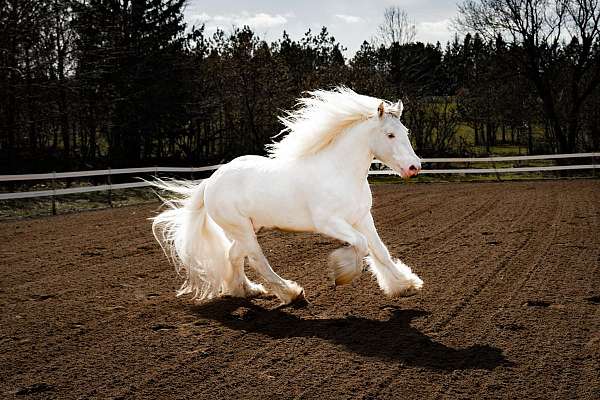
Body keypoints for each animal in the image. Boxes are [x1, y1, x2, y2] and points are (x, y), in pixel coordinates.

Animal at [152, 87, 424, 304]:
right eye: (390, 135)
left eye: (405, 131)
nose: (415, 167)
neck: (340, 172)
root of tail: (211, 181)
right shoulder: (330, 223)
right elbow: (361, 244)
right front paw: (341, 273)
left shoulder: (362, 217)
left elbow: (379, 250)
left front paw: (405, 284)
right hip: (241, 228)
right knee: (257, 259)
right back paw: (291, 293)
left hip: (248, 227)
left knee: (234, 255)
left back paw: (247, 290)